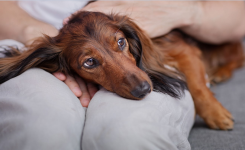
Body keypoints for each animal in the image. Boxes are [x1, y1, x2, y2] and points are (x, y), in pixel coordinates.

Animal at [0, 11, 243, 130]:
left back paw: (221, 72)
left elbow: (199, 87)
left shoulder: (183, 50)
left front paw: (216, 114)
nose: (143, 90)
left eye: (120, 42)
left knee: (238, 56)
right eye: (89, 62)